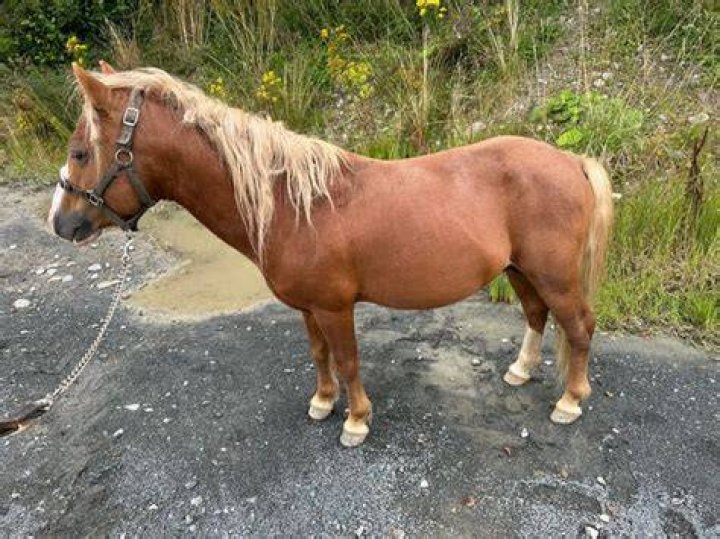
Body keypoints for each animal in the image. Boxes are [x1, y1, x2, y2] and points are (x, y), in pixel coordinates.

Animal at [48, 62, 613, 447]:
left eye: (80, 152)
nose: (61, 223)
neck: (293, 204)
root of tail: (569, 159)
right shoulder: (308, 307)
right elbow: (320, 355)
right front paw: (323, 402)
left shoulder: (335, 307)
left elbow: (347, 359)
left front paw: (356, 421)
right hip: (520, 269)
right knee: (537, 314)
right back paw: (520, 371)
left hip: (554, 274)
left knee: (578, 326)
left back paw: (569, 402)